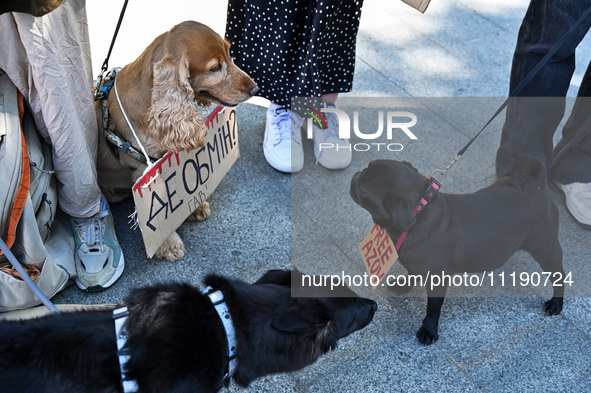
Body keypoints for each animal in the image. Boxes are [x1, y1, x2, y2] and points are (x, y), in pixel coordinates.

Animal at [352, 156, 564, 344]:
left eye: (363, 190)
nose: (356, 175)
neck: (419, 211)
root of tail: (536, 188)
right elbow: (411, 272)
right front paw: (402, 286)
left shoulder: (437, 279)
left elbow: (433, 308)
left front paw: (428, 330)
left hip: (545, 248)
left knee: (559, 274)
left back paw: (556, 304)